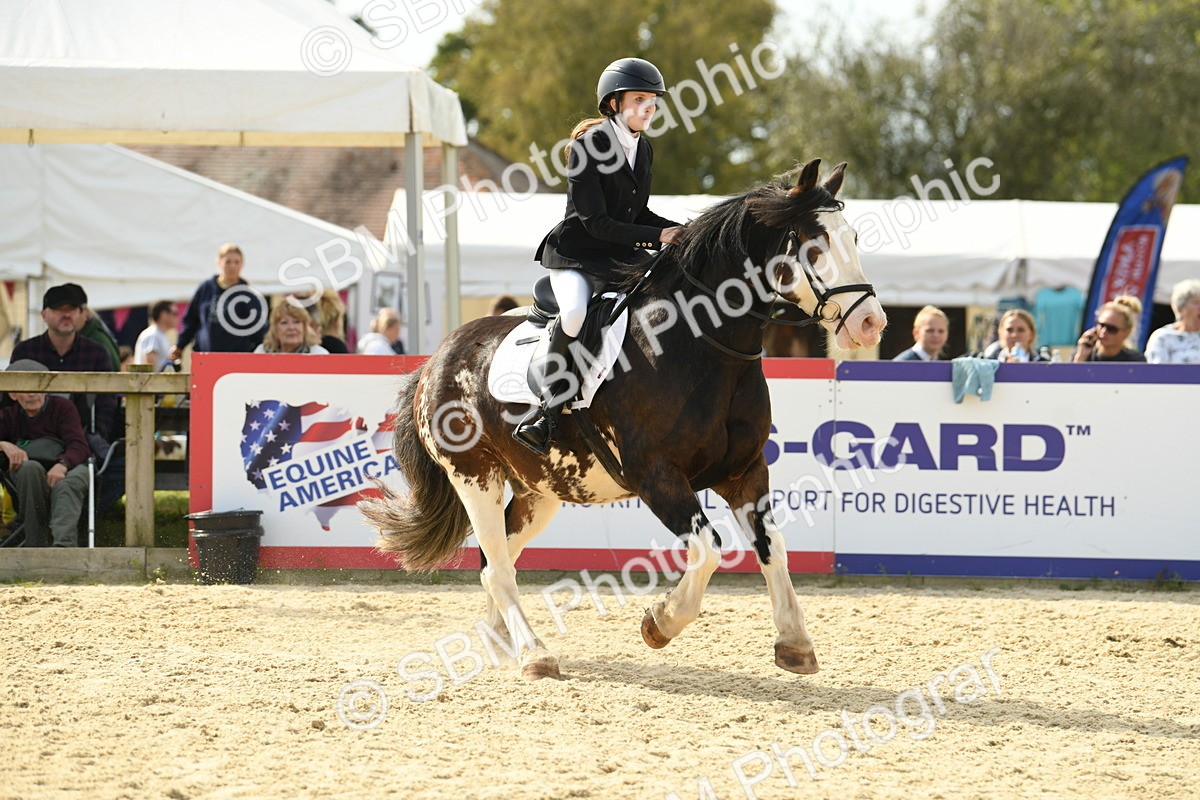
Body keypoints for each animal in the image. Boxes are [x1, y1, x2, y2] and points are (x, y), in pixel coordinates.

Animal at [360, 159, 886, 681]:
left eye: (855, 237)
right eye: (815, 243)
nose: (871, 324)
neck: (702, 343)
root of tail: (434, 360)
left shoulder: (744, 471)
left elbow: (772, 546)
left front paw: (795, 643)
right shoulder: (656, 475)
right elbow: (708, 549)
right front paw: (660, 622)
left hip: (538, 490)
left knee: (497, 561)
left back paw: (501, 644)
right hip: (475, 477)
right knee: (499, 567)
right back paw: (535, 654)